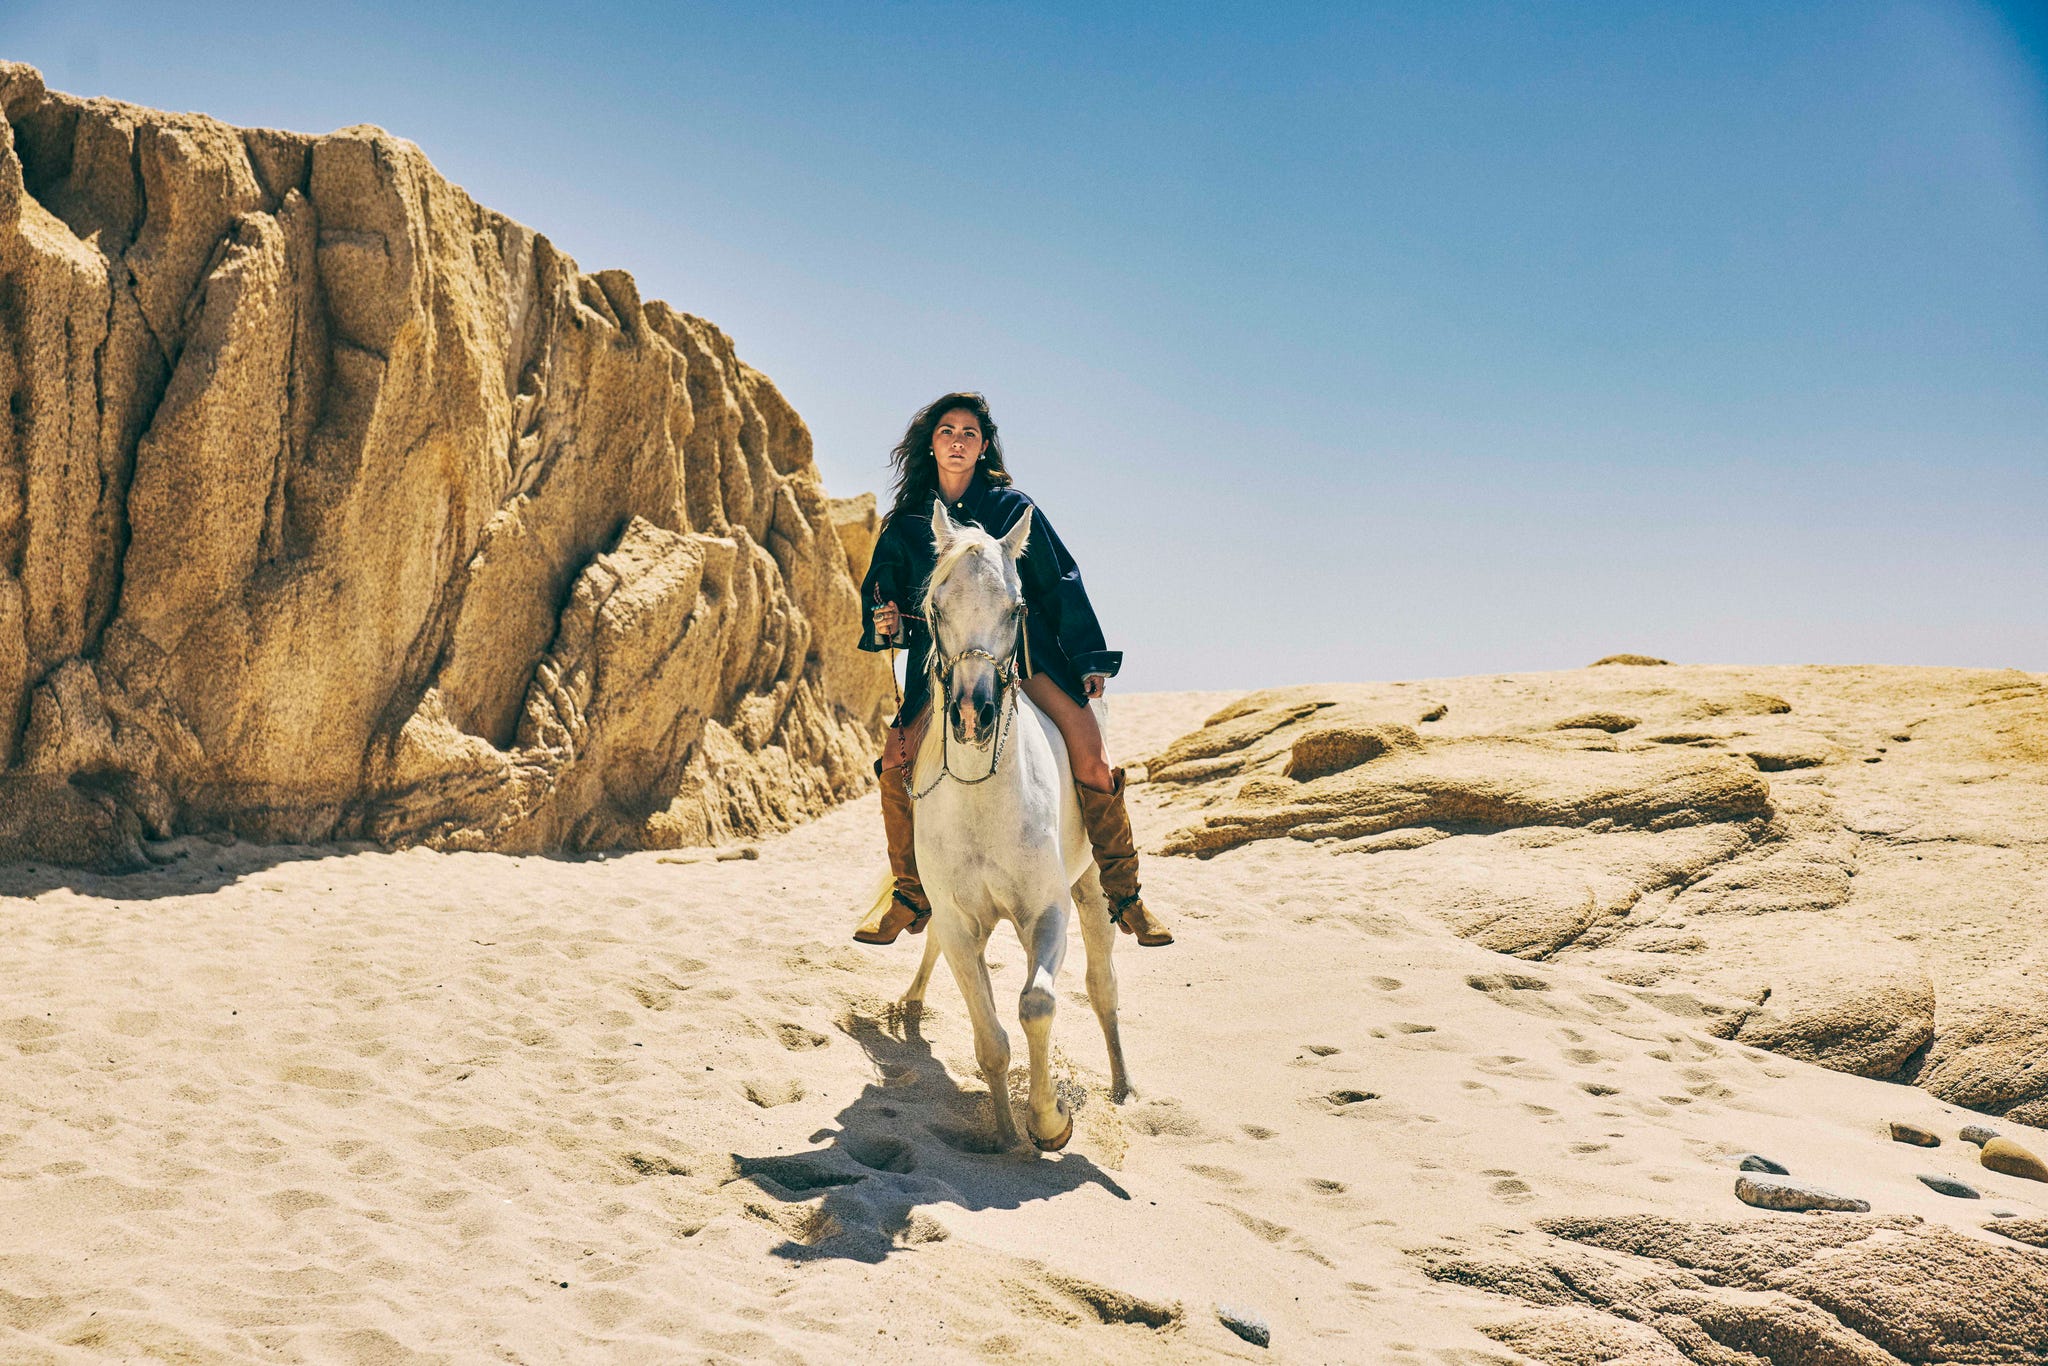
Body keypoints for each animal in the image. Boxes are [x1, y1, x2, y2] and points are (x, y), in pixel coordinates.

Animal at [901, 501, 1138, 1155]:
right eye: (936, 607)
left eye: (1015, 608)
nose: (972, 714)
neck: (982, 799)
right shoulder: (960, 924)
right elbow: (991, 1041)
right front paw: (1008, 1135)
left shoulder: (1046, 913)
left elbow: (1035, 1004)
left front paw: (1051, 1121)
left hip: (1092, 890)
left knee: (1103, 986)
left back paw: (1123, 1087)